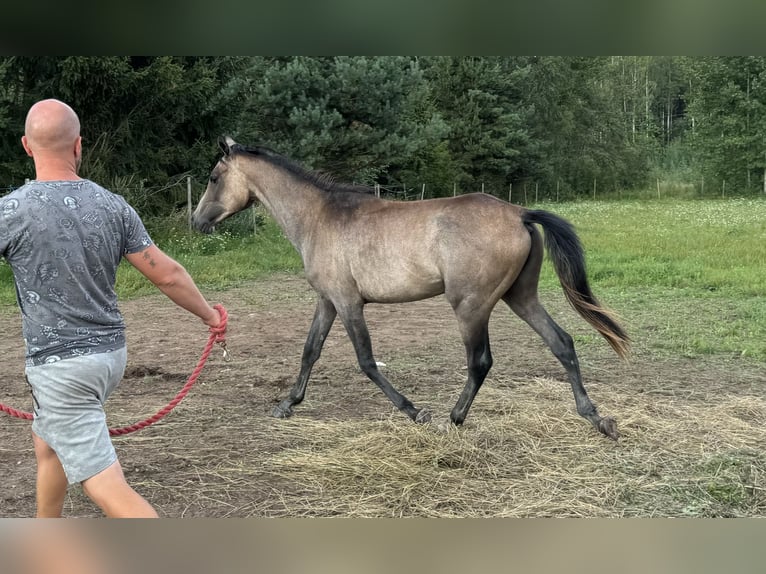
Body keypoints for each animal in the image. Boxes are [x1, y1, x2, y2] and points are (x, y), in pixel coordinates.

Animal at [195, 138, 632, 440]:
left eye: (214, 178)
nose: (196, 221)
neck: (320, 217)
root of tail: (520, 214)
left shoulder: (349, 303)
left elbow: (366, 361)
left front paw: (415, 411)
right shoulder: (328, 301)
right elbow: (310, 351)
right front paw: (287, 404)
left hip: (471, 306)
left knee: (480, 361)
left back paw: (454, 418)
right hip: (520, 297)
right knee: (562, 342)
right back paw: (596, 418)